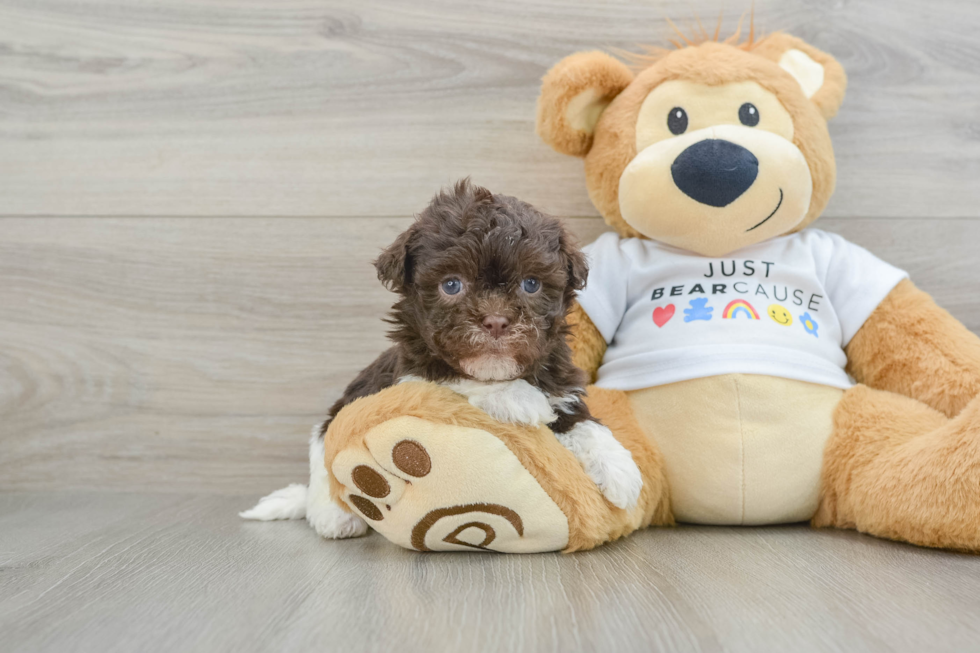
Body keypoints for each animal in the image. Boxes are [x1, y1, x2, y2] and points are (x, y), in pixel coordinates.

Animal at [243, 181, 644, 536]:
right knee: (323, 461)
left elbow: (581, 420)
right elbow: (457, 379)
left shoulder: (559, 381)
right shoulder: (412, 375)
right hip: (331, 431)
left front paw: (618, 466)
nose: (495, 321)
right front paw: (516, 397)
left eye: (531, 284)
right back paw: (335, 516)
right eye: (451, 285)